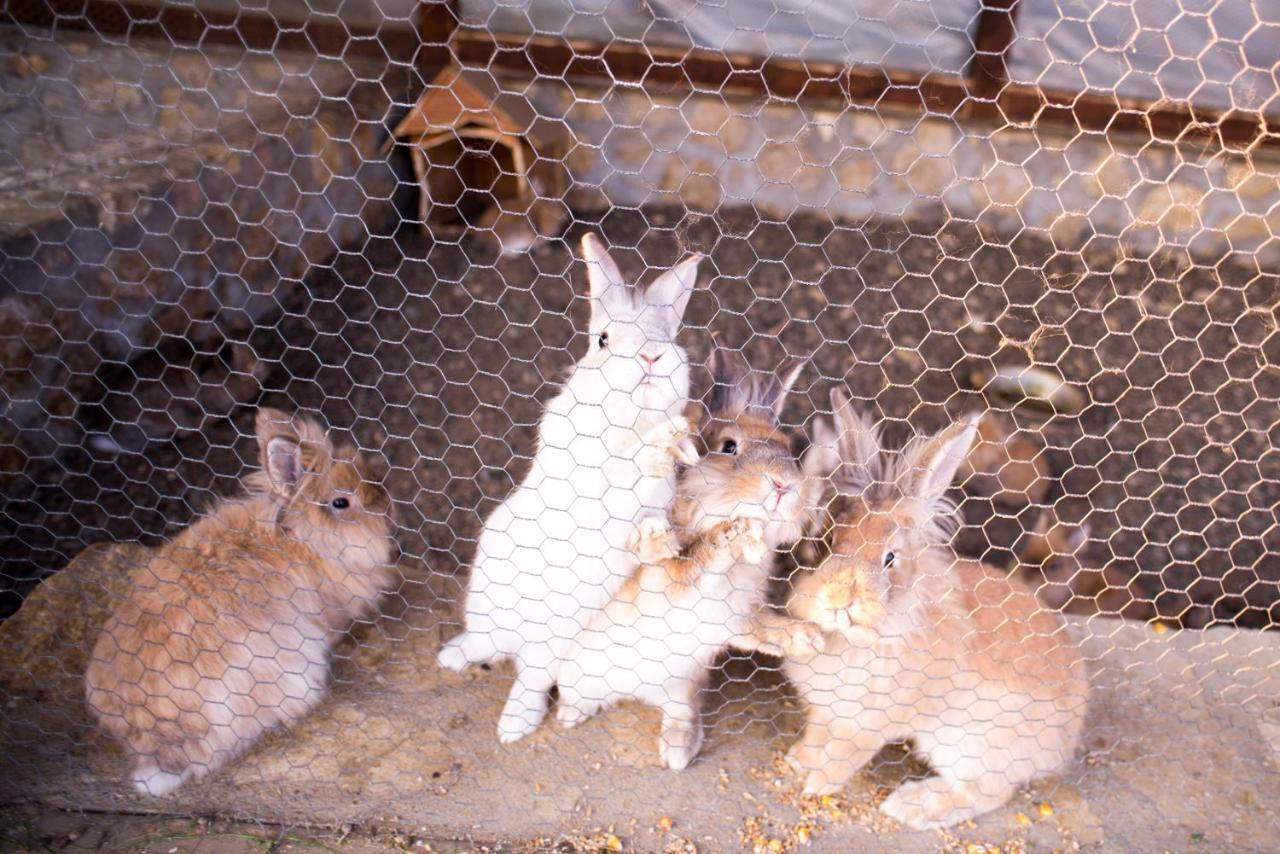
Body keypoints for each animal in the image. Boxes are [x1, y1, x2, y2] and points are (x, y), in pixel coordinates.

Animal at [435, 234, 706, 742]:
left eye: (668, 340)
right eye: (603, 339)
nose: (651, 357)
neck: (629, 426)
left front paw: (671, 448)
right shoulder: (582, 475)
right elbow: (616, 476)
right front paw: (659, 446)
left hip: (550, 646)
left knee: (529, 679)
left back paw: (512, 726)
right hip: (487, 601)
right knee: (484, 642)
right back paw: (451, 658)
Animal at [778, 391, 1090, 829]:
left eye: (890, 558)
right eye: (828, 539)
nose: (839, 598)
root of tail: (1063, 746)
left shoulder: (867, 727)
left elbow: (843, 756)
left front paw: (817, 783)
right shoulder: (827, 713)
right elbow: (816, 736)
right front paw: (799, 760)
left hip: (968, 748)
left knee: (986, 795)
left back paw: (909, 806)